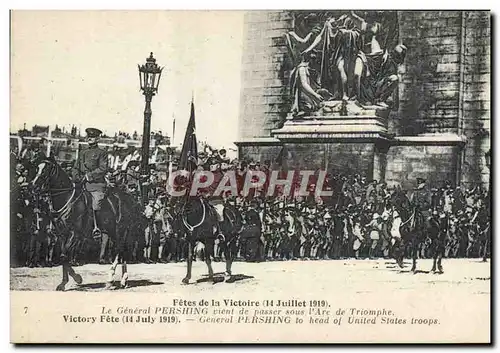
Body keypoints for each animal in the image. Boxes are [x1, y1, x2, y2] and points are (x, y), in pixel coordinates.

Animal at [29, 158, 139, 290]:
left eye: (45, 170)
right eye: (37, 168)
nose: (33, 186)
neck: (68, 199)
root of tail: (128, 198)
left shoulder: (75, 234)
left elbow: (63, 256)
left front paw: (77, 278)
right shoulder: (61, 235)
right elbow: (63, 256)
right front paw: (64, 282)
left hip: (120, 231)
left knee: (119, 250)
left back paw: (112, 279)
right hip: (114, 231)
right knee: (122, 252)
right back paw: (123, 280)